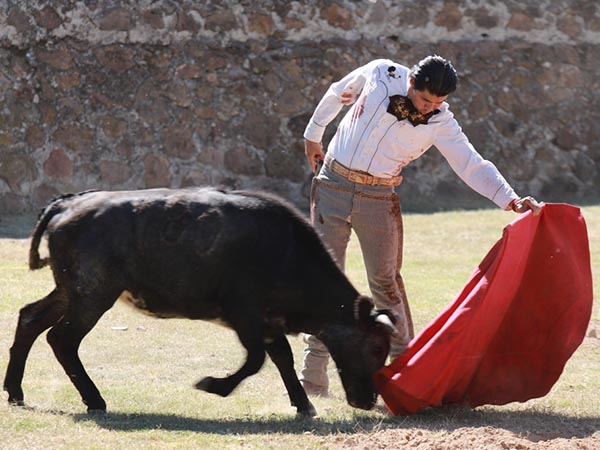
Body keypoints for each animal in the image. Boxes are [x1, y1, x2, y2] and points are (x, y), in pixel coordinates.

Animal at [5, 187, 398, 418]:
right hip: (93, 293)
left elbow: (281, 359)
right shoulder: (244, 315)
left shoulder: (267, 321)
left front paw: (304, 405)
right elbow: (256, 360)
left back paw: (15, 393)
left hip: (71, 291)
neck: (285, 252)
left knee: (30, 319)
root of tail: (66, 203)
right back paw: (94, 401)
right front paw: (212, 385)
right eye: (377, 347)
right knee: (62, 338)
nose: (368, 401)